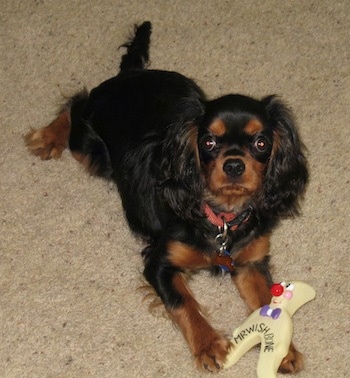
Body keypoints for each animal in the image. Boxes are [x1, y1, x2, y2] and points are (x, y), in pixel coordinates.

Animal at [26, 22, 308, 374]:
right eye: (209, 142)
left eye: (261, 143)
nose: (233, 165)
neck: (221, 216)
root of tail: (131, 75)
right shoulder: (158, 263)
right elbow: (183, 301)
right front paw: (208, 346)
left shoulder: (251, 263)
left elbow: (270, 305)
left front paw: (283, 351)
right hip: (89, 149)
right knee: (76, 103)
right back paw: (48, 137)